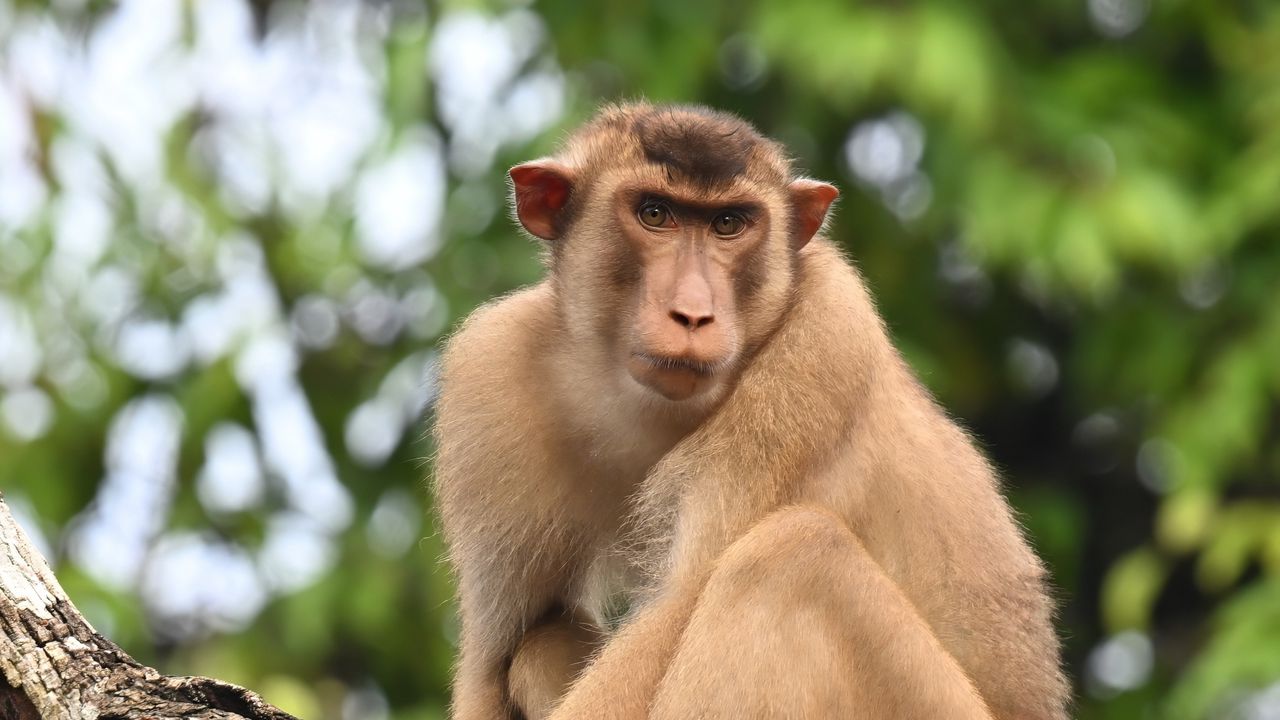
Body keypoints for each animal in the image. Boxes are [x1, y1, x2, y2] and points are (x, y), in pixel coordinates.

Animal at [431, 102, 1069, 720]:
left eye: (728, 224)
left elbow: (674, 610)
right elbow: (492, 660)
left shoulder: (822, 346)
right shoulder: (491, 374)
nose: (693, 313)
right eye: (655, 213)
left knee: (791, 556)